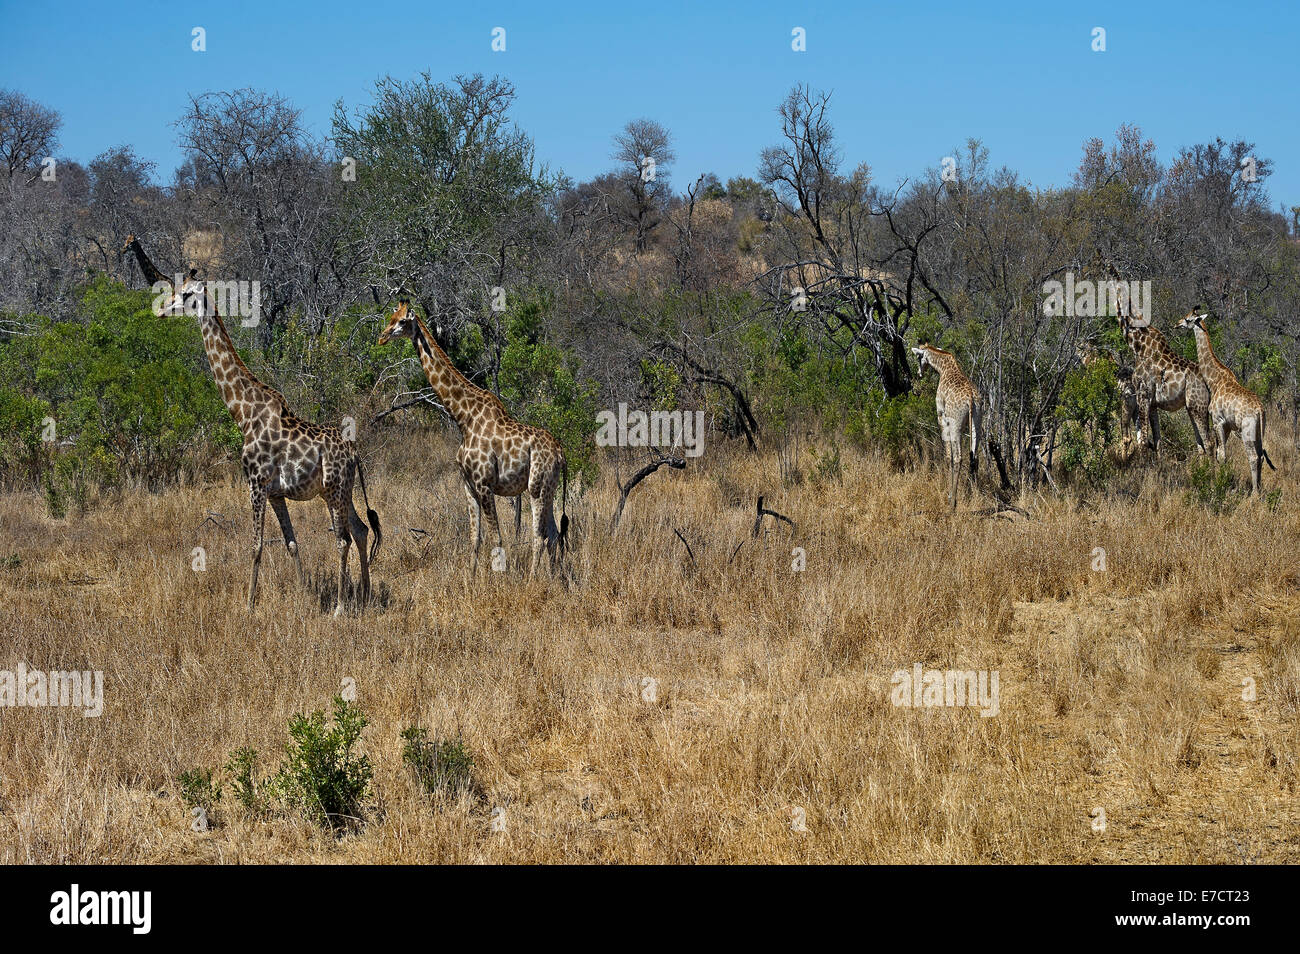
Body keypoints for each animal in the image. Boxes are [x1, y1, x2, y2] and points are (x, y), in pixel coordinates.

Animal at [121, 235, 381, 614]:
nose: (161, 309)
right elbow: (291, 543)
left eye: (186, 293)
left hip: (333, 490)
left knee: (343, 539)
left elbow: (256, 546)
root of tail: (354, 454)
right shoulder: (276, 493)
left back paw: (340, 607)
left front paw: (248, 606)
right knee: (361, 531)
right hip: (340, 491)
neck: (243, 412)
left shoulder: (255, 483)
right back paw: (363, 595)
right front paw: (304, 596)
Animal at [377, 300, 567, 575]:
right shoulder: (467, 484)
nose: (382, 337)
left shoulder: (484, 482)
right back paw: (557, 579)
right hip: (549, 488)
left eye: (402, 321)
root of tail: (561, 453)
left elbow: (496, 537)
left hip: (536, 487)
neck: (463, 419)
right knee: (553, 535)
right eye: (391, 317)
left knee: (540, 536)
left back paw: (533, 579)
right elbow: (474, 537)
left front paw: (500, 578)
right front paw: (471, 578)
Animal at [912, 343, 980, 510]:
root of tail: (970, 398)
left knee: (958, 457)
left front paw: (949, 496)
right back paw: (971, 495)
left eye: (918, 357)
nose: (919, 373)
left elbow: (948, 456)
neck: (944, 368)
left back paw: (953, 503)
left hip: (956, 425)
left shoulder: (941, 416)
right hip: (977, 422)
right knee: (974, 456)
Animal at [1115, 301, 1212, 455]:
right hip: (1192, 407)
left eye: (1188, 319)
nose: (1177, 324)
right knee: (1201, 444)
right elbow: (1157, 442)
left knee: (1209, 443)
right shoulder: (1153, 404)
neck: (1137, 345)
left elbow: (1143, 441)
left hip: (1199, 406)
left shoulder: (1143, 397)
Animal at [1175, 311, 1276, 494]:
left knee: (1253, 456)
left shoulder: (1218, 421)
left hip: (1247, 431)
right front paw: (1224, 480)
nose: (1177, 324)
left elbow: (1221, 455)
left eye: (1187, 319)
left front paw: (1220, 484)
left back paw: (1254, 494)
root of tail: (1259, 410)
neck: (1214, 380)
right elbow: (1219, 453)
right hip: (1259, 431)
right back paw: (1258, 488)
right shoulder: (1227, 426)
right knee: (1260, 456)